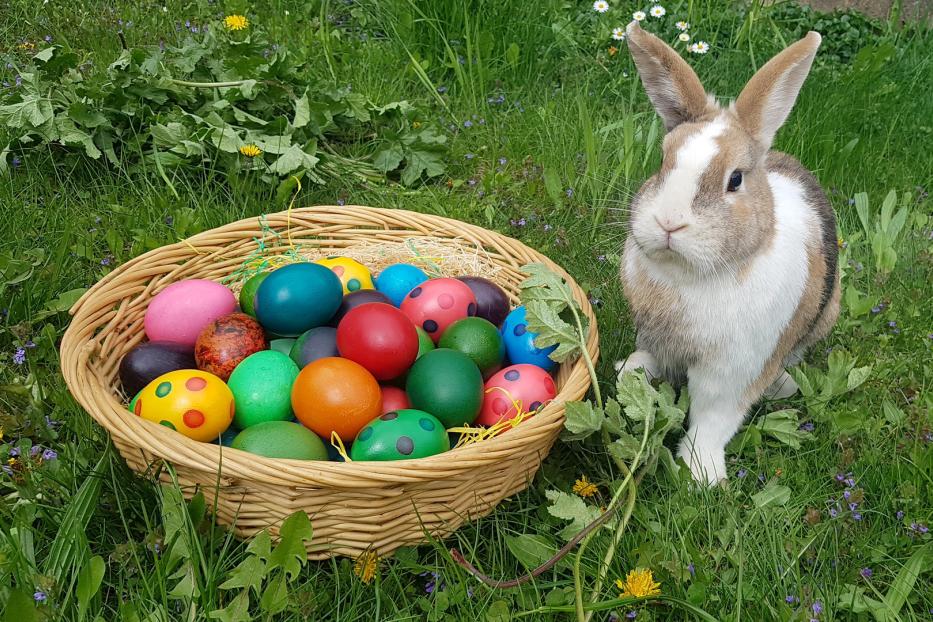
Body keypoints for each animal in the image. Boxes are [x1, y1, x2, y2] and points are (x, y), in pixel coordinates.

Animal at [615, 22, 840, 484]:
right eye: (662, 162)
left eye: (735, 180)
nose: (669, 222)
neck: (690, 276)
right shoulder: (655, 334)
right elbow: (654, 358)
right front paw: (631, 375)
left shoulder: (734, 369)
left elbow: (713, 418)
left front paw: (702, 475)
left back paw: (784, 385)